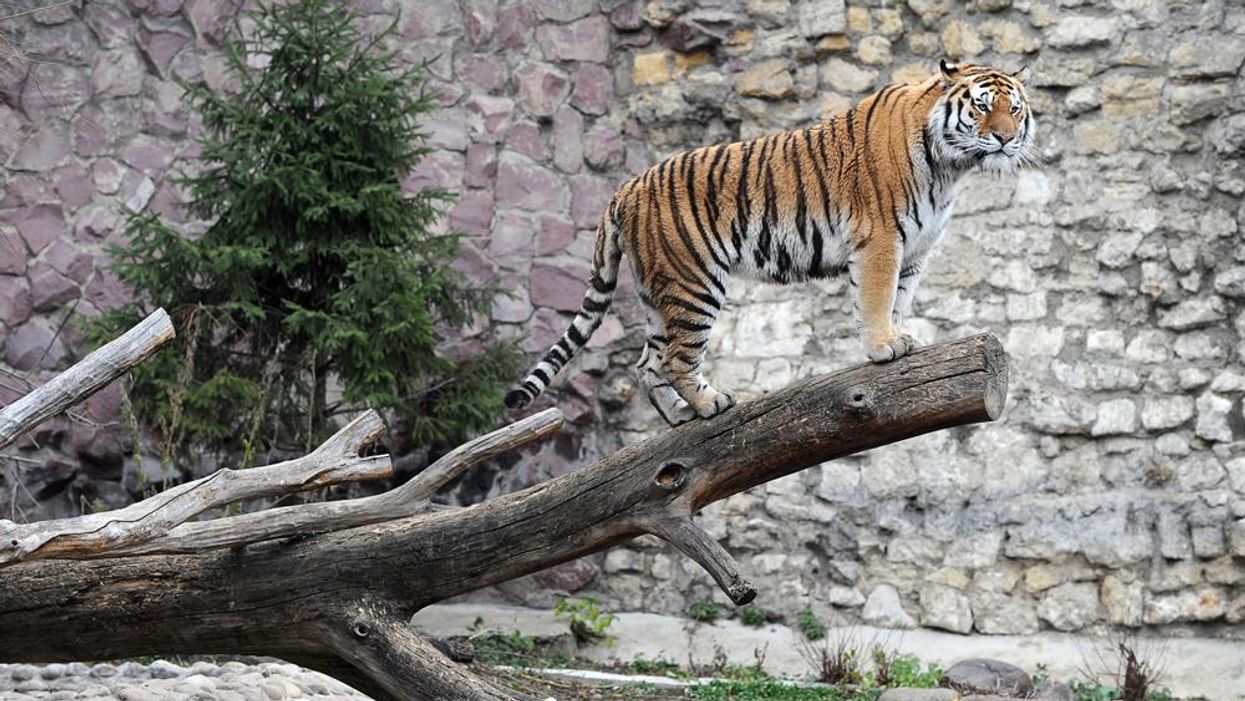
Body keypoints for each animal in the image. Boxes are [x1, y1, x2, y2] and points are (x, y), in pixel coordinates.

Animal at [500, 60, 1035, 425]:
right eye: (982, 106)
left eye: (1015, 109)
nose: (1006, 139)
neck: (950, 167)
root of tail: (625, 187)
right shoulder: (882, 240)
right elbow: (878, 298)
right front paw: (883, 347)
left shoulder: (915, 251)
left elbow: (899, 299)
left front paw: (901, 339)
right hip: (693, 281)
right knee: (675, 358)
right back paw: (710, 404)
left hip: (657, 291)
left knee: (647, 362)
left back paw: (678, 418)